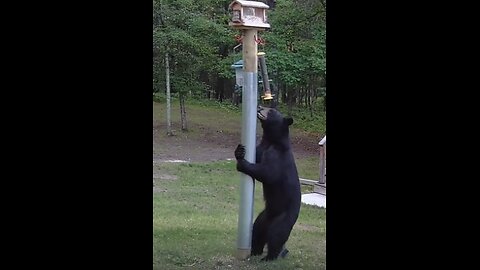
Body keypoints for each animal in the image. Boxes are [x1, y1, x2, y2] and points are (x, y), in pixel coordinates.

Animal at [235, 105, 300, 260]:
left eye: (271, 111)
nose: (259, 107)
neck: (272, 141)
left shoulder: (277, 156)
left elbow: (268, 173)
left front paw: (242, 164)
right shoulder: (261, 148)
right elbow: (256, 155)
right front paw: (239, 151)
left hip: (284, 218)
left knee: (276, 235)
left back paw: (270, 257)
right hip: (263, 217)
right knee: (257, 231)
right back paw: (255, 251)